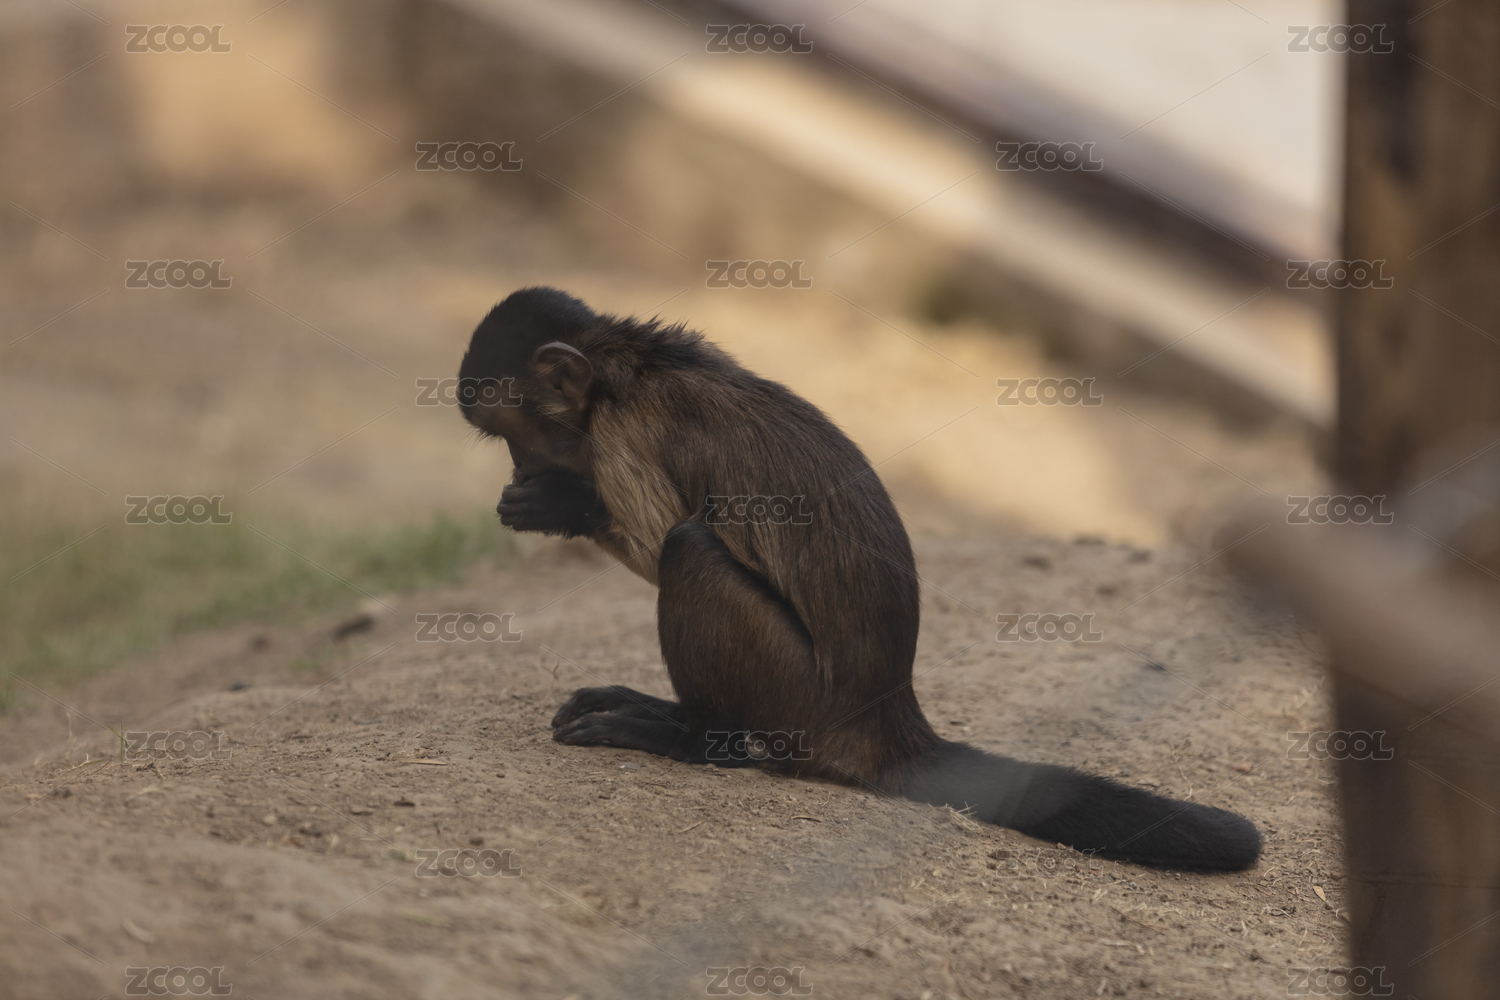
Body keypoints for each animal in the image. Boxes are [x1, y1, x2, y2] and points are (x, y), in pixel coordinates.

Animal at [457, 286, 1262, 871]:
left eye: (512, 438)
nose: (521, 470)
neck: (622, 374)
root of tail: (886, 716)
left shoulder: (625, 438)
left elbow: (661, 537)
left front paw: (562, 504)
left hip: (797, 694)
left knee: (691, 549)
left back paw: (699, 740)